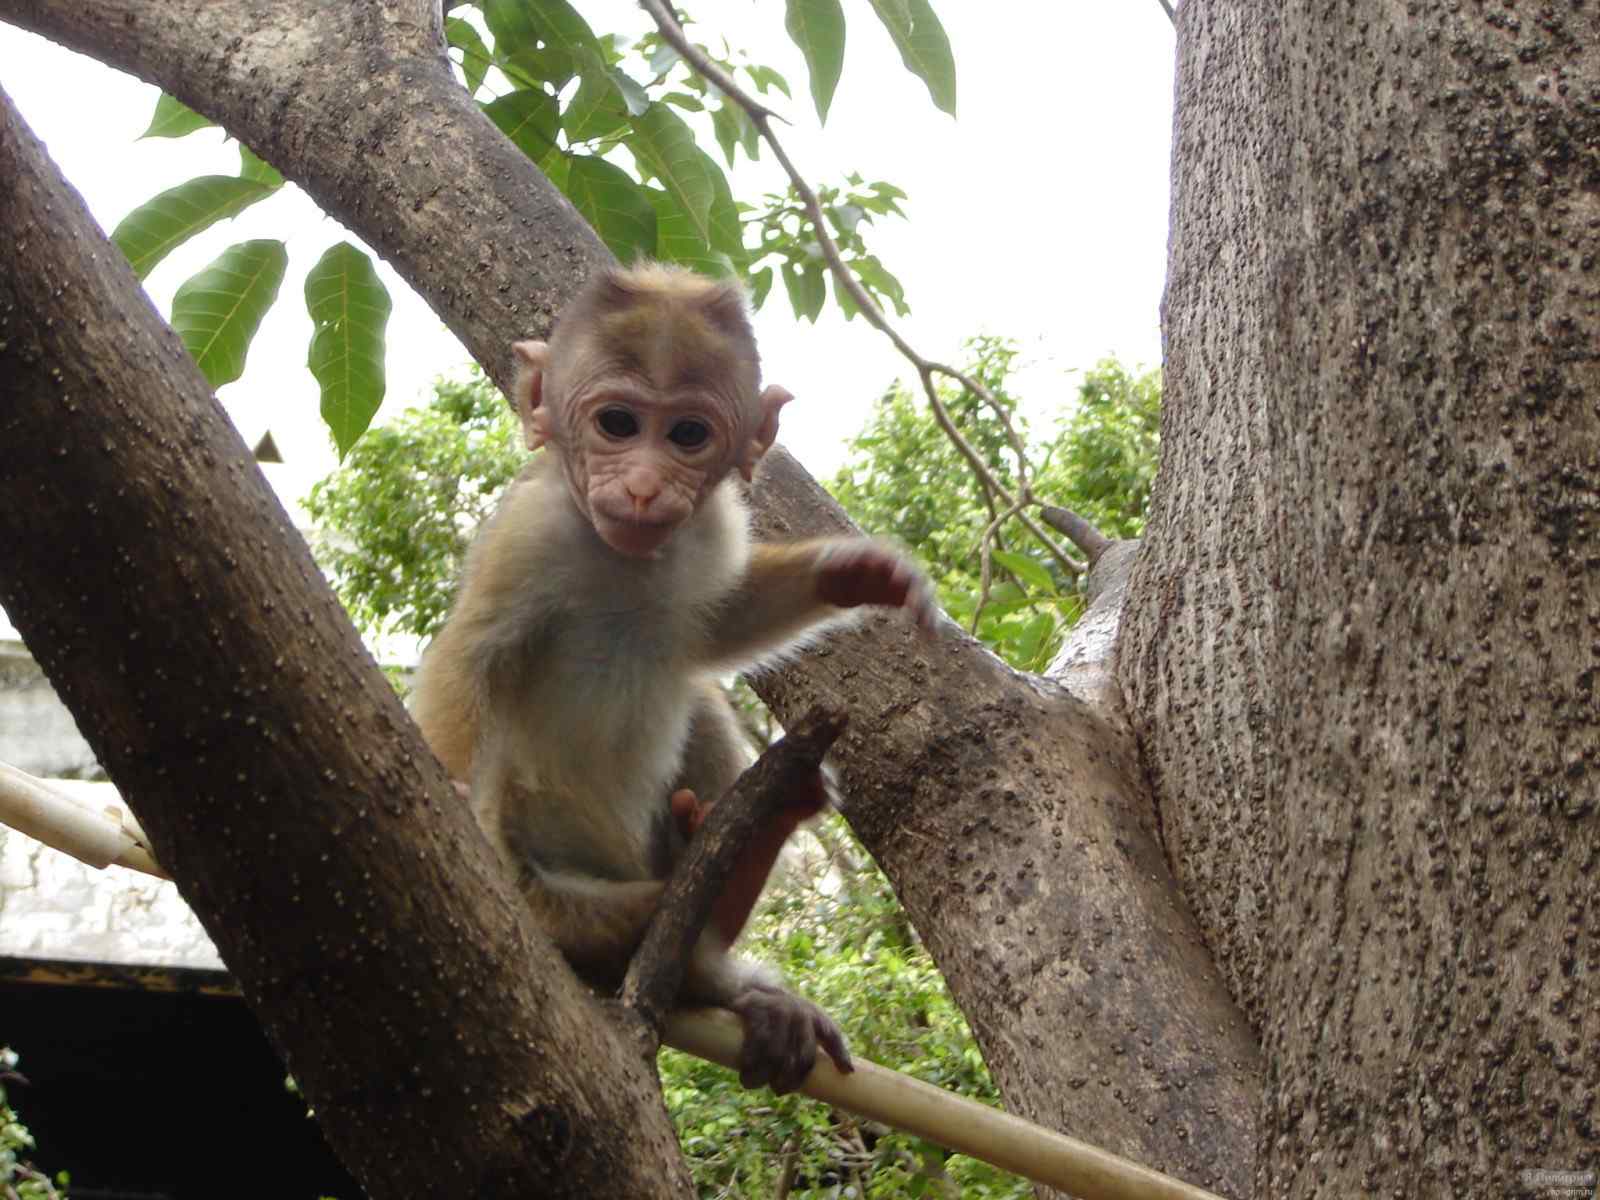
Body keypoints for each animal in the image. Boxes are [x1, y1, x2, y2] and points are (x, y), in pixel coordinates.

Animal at [409, 265, 934, 1100]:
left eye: (688, 435)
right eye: (617, 423)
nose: (646, 487)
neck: (626, 557)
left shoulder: (713, 522)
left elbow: (721, 624)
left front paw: (855, 571)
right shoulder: (532, 533)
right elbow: (469, 658)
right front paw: (454, 794)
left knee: (699, 702)